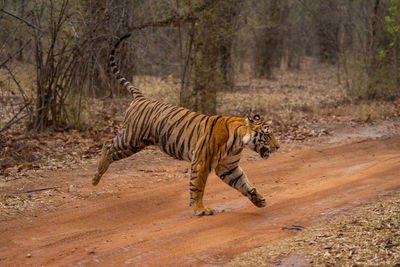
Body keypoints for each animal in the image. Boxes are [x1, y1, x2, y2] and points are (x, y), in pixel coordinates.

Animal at [92, 34, 280, 218]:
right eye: (267, 134)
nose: (278, 147)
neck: (239, 142)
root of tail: (141, 97)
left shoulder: (228, 167)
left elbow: (243, 182)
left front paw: (258, 199)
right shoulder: (201, 162)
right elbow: (197, 187)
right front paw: (200, 209)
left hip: (135, 144)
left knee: (111, 150)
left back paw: (97, 176)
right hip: (131, 138)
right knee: (107, 144)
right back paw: (96, 177)